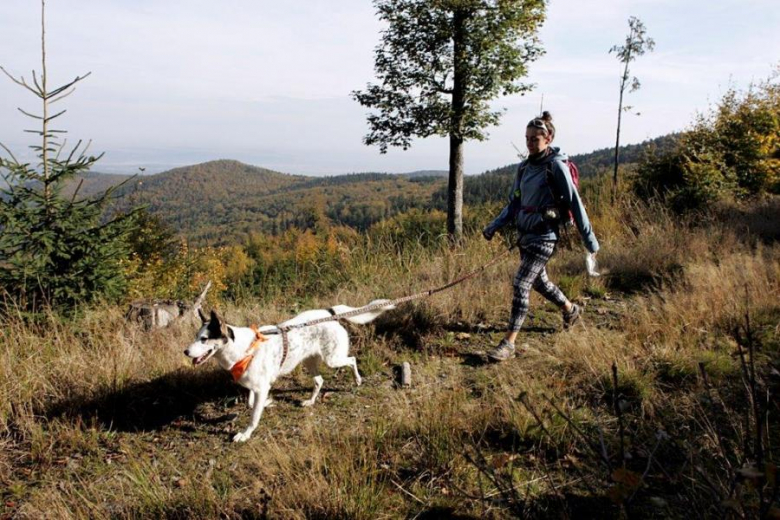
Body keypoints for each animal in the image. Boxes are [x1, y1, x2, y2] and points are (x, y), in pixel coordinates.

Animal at [181, 300, 394, 442]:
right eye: (196, 336)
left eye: (204, 339)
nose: (186, 352)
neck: (243, 348)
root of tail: (329, 312)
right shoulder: (257, 386)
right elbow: (251, 404)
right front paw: (268, 403)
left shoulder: (261, 387)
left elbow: (253, 416)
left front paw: (245, 434)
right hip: (310, 362)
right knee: (319, 380)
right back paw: (310, 401)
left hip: (333, 359)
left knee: (352, 360)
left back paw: (357, 380)